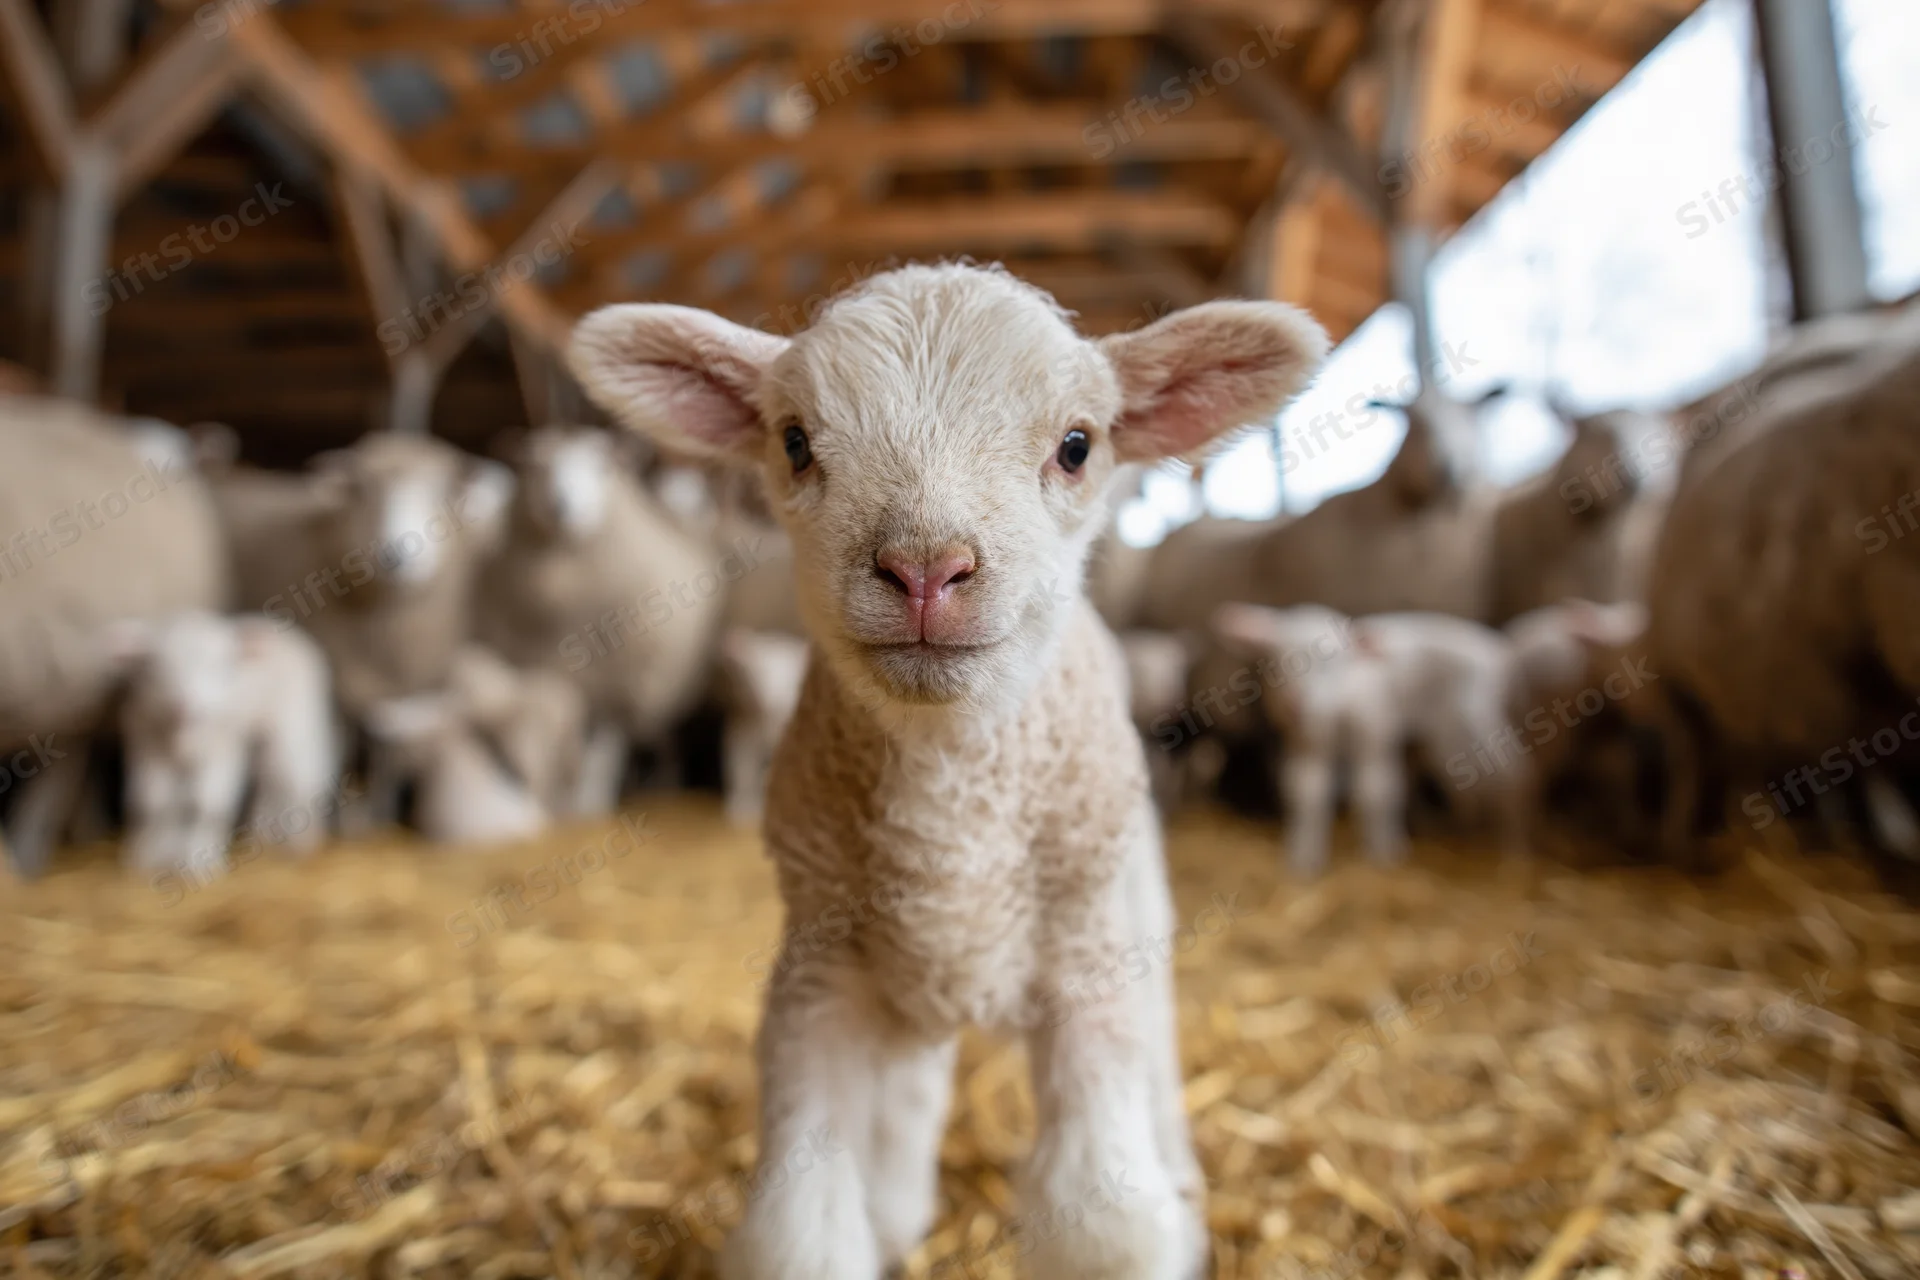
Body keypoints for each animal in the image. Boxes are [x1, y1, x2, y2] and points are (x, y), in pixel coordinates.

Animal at [110, 612, 337, 878]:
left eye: (220, 666)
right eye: (155, 668)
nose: (184, 704)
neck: (185, 733)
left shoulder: (223, 749)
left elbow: (206, 805)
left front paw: (199, 859)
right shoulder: (147, 747)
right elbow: (153, 803)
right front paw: (148, 858)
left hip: (292, 725)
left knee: (297, 779)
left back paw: (301, 845)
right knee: (266, 782)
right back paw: (263, 834)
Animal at [570, 262, 1327, 1280]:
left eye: (1078, 446)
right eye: (795, 441)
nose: (926, 569)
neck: (950, 795)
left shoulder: (1088, 966)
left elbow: (1106, 1227)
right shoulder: (818, 972)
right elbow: (804, 1225)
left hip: (1131, 902)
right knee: (911, 1084)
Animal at [1213, 604, 1527, 876]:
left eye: (1333, 663)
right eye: (1273, 660)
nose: (1294, 704)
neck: (1338, 708)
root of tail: (1499, 652)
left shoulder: (1373, 732)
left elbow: (1372, 790)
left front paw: (1379, 857)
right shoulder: (1306, 740)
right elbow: (1307, 791)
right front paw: (1303, 859)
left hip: (1472, 729)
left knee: (1511, 777)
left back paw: (1513, 854)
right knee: (1457, 790)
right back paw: (1460, 831)